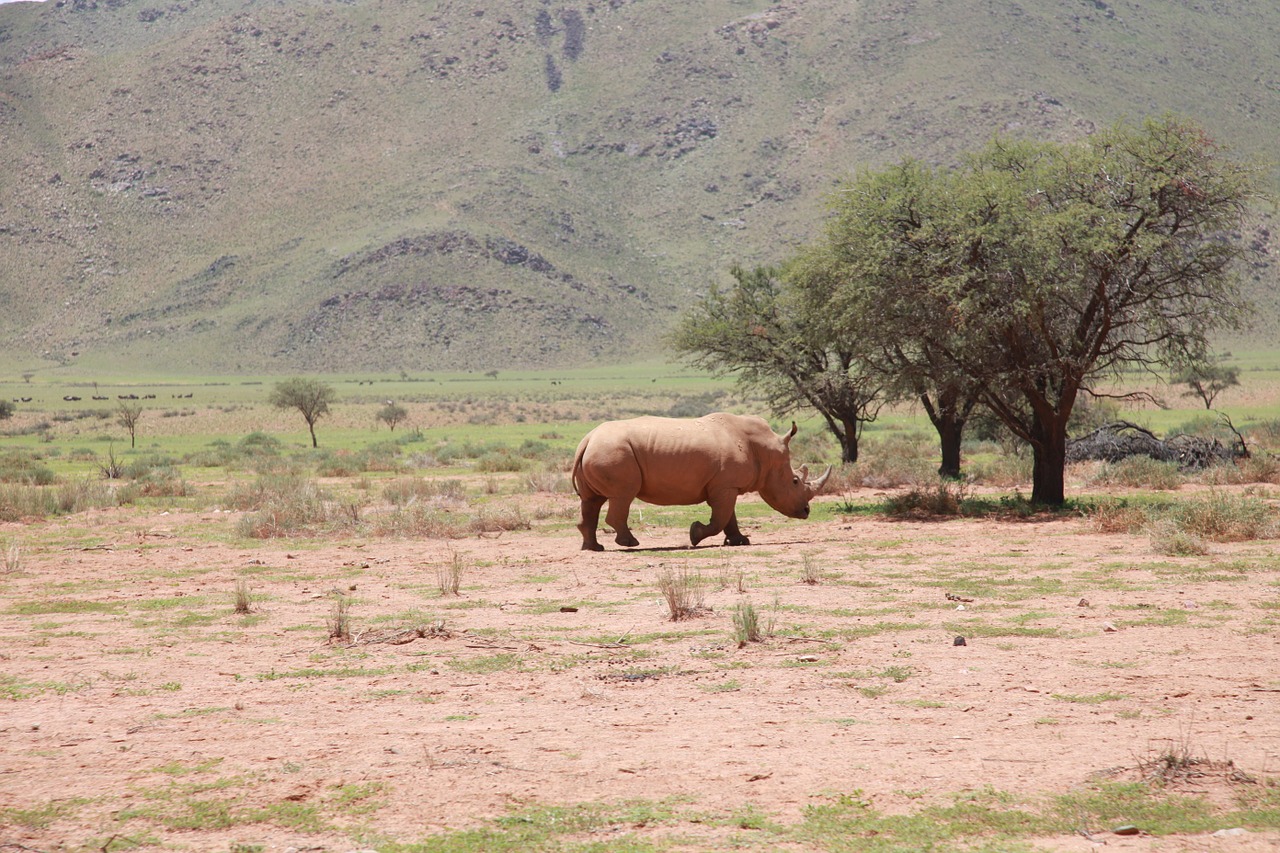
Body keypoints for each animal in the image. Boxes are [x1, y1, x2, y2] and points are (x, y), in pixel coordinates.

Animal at [570, 409, 829, 548]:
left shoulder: (726, 485)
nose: (806, 511)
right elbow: (719, 519)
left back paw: (594, 548)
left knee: (592, 500)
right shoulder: (725, 486)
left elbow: (729, 517)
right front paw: (694, 535)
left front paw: (740, 541)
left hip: (601, 450)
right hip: (613, 452)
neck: (765, 450)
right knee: (622, 496)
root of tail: (587, 439)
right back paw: (631, 544)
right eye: (795, 481)